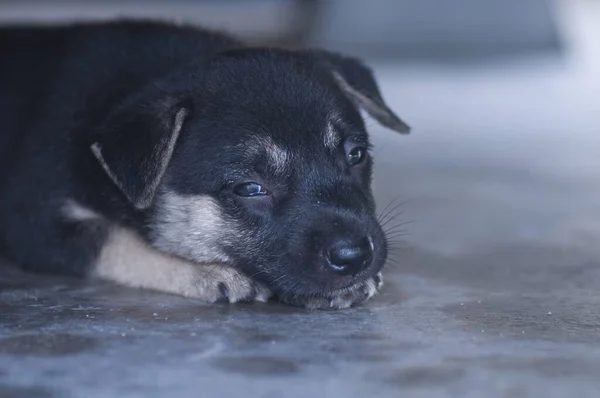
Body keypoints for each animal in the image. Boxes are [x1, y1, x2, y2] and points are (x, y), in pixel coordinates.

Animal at [0, 20, 408, 310]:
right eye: (250, 188)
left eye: (356, 155)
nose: (356, 257)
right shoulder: (34, 222)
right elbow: (118, 239)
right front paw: (207, 271)